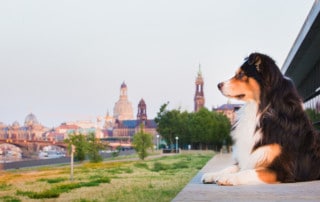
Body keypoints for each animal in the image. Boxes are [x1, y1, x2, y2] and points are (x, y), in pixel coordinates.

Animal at [202, 52, 320, 186]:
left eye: (241, 74)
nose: (218, 85)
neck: (261, 110)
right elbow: (232, 166)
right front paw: (213, 174)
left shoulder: (283, 170)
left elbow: (248, 172)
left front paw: (229, 178)